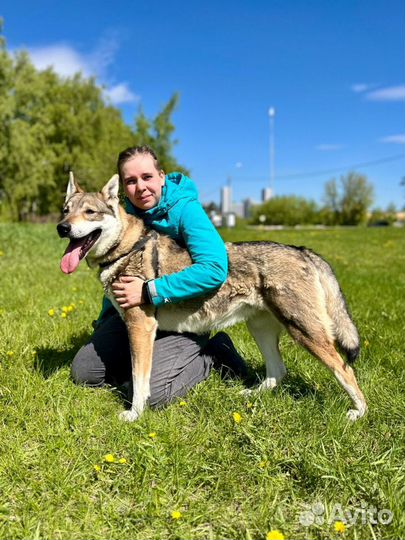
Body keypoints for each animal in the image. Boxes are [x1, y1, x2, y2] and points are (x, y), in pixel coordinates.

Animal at [56, 173, 366, 422]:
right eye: (65, 210)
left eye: (90, 212)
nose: (62, 228)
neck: (127, 248)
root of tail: (302, 250)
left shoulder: (140, 328)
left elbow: (140, 381)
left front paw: (134, 414)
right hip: (261, 329)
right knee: (278, 371)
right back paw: (251, 393)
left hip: (306, 333)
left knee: (345, 370)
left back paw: (358, 413)